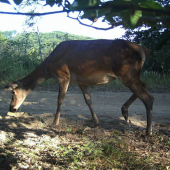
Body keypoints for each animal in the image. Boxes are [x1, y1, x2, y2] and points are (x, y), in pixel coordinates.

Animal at [3, 38, 153, 135]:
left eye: (13, 93)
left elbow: (60, 100)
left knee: (148, 97)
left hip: (127, 72)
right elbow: (88, 101)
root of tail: (143, 49)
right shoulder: (82, 81)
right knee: (144, 86)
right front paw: (96, 123)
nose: (11, 108)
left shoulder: (63, 75)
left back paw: (148, 131)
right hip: (131, 74)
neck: (48, 68)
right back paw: (125, 113)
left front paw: (54, 123)